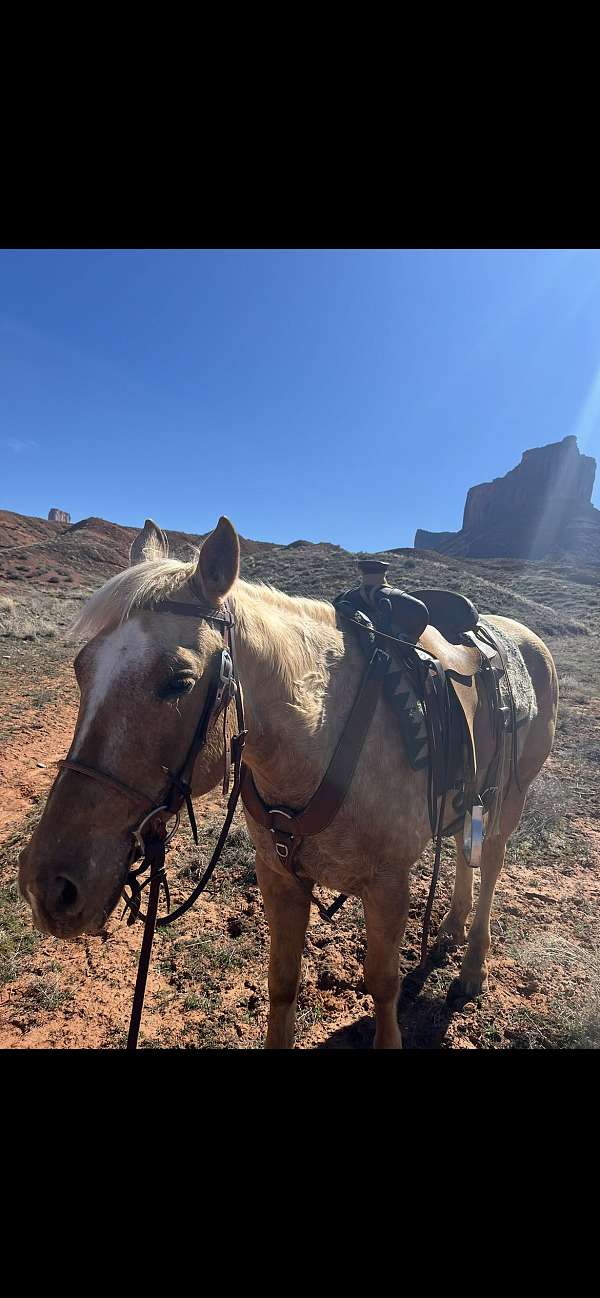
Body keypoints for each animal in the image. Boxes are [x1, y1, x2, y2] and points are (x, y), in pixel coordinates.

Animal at [18, 516, 559, 1049]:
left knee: (491, 864)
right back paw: (451, 926)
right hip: (475, 793)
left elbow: (383, 982)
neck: (320, 738)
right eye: (81, 669)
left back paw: (471, 970)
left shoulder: (388, 882)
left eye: (179, 681)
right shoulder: (278, 875)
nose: (49, 886)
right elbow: (282, 981)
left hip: (511, 797)